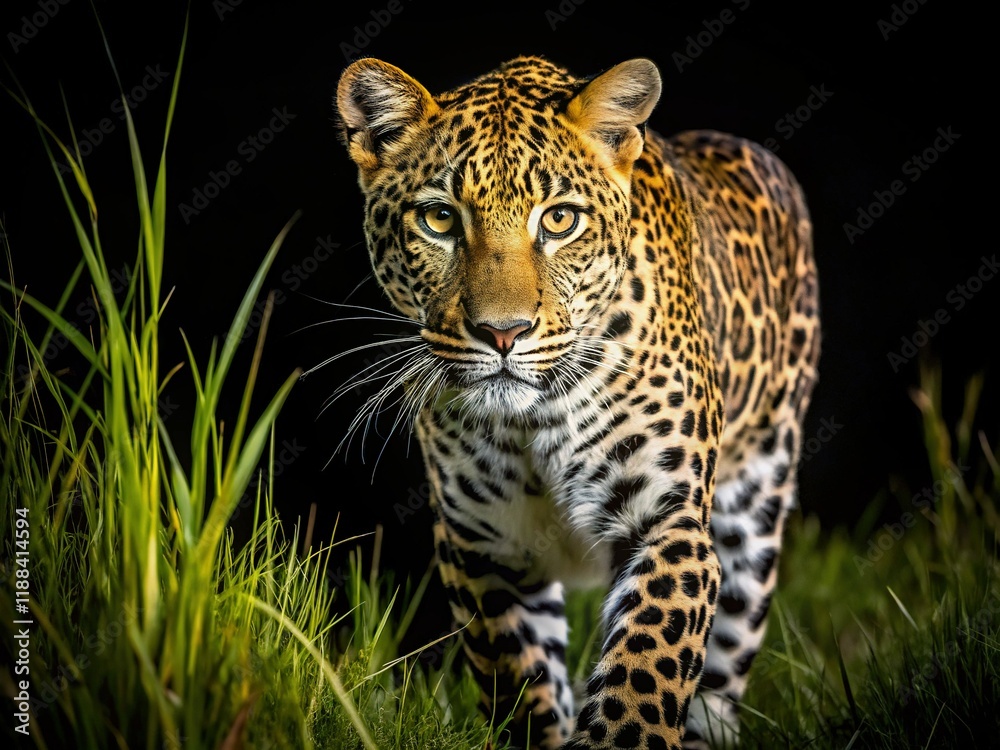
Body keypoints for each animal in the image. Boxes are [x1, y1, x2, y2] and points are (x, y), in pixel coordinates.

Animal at [334, 54, 820, 749]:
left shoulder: (668, 522)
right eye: (440, 219)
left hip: (755, 512)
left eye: (560, 220)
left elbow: (646, 667)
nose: (502, 332)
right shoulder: (484, 545)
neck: (534, 418)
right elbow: (522, 683)